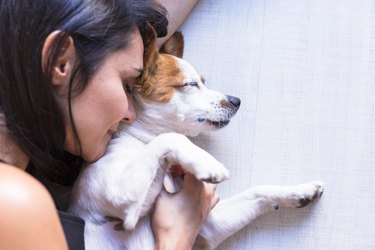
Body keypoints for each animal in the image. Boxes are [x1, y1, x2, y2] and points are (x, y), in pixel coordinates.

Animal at [68, 23, 326, 250]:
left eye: (203, 81)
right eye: (191, 84)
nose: (236, 101)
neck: (141, 142)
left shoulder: (208, 226)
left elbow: (257, 191)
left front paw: (300, 191)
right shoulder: (124, 199)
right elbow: (171, 138)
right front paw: (207, 163)